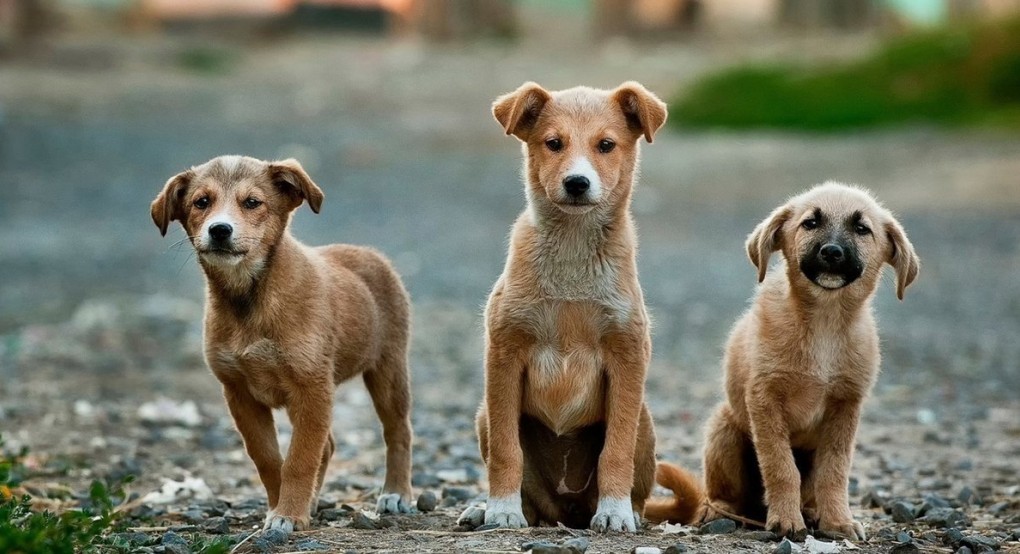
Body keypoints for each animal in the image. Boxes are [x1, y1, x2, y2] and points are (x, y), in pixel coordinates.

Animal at [146, 156, 414, 534]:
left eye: (252, 202)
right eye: (201, 202)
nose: (219, 230)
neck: (249, 299)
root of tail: (369, 253)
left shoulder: (311, 387)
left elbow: (300, 458)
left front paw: (288, 514)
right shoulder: (239, 393)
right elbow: (269, 458)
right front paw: (281, 508)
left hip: (388, 370)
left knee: (398, 431)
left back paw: (396, 493)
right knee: (328, 446)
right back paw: (313, 501)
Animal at [648, 183, 922, 542]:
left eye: (862, 229)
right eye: (810, 223)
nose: (832, 252)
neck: (824, 322)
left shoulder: (846, 406)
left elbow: (834, 472)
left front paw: (838, 521)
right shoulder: (765, 399)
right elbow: (780, 467)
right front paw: (786, 521)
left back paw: (812, 511)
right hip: (724, 429)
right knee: (722, 494)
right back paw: (720, 510)